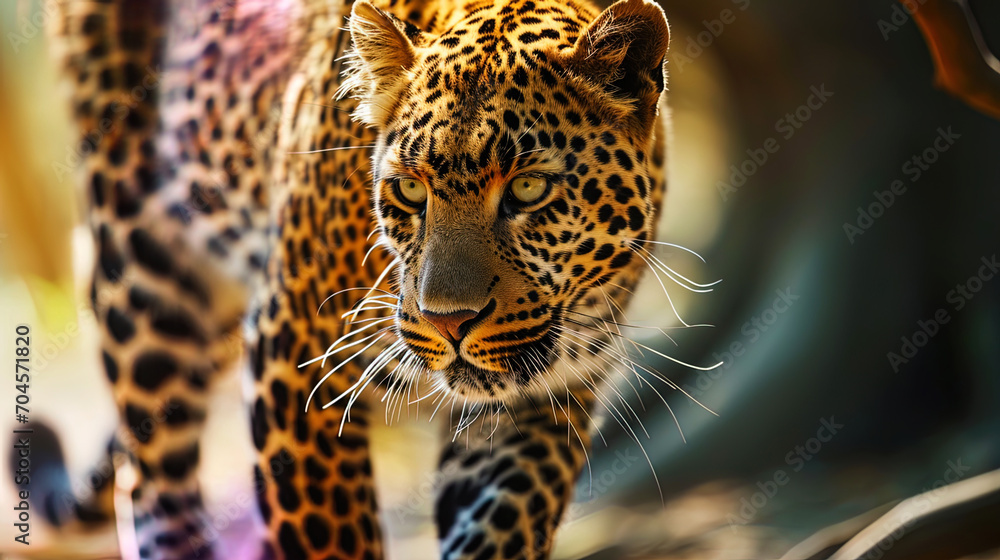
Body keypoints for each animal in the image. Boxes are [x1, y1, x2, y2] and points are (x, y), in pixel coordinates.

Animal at [31, 0, 673, 557]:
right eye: (410, 189)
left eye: (529, 188)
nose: (450, 323)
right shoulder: (291, 350)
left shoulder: (544, 396)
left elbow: (500, 526)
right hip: (142, 267)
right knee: (149, 479)